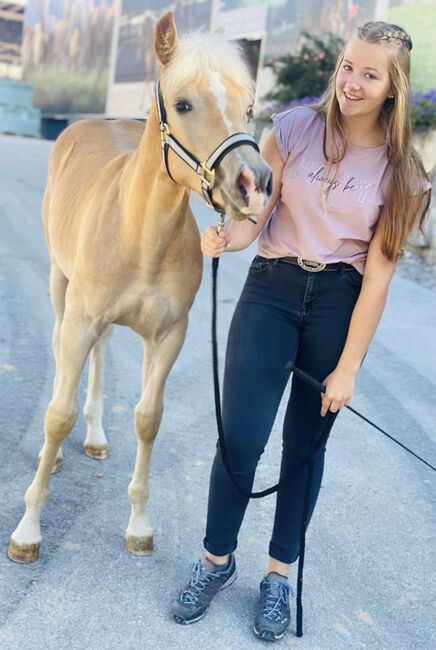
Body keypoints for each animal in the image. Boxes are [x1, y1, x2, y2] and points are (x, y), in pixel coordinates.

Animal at [8, 12, 270, 564]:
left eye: (250, 107)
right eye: (183, 104)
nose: (255, 184)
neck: (140, 233)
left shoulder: (169, 336)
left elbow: (149, 418)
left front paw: (139, 525)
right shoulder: (80, 319)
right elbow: (57, 415)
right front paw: (27, 530)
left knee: (103, 353)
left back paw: (96, 434)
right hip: (61, 287)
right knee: (62, 350)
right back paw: (55, 453)